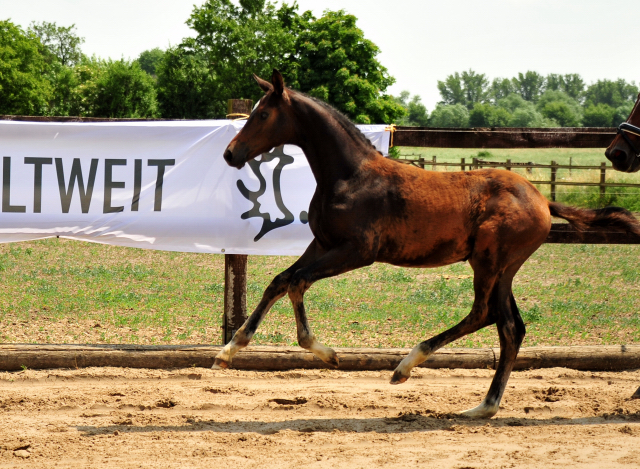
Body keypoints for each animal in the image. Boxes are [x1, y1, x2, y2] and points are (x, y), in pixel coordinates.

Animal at [216, 70, 640, 416]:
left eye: (263, 115)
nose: (230, 153)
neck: (350, 175)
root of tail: (541, 199)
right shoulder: (322, 243)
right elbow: (280, 281)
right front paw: (229, 350)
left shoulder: (358, 251)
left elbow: (297, 282)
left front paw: (326, 353)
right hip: (504, 268)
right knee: (511, 327)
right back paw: (484, 406)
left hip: (489, 261)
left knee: (484, 314)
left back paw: (406, 367)